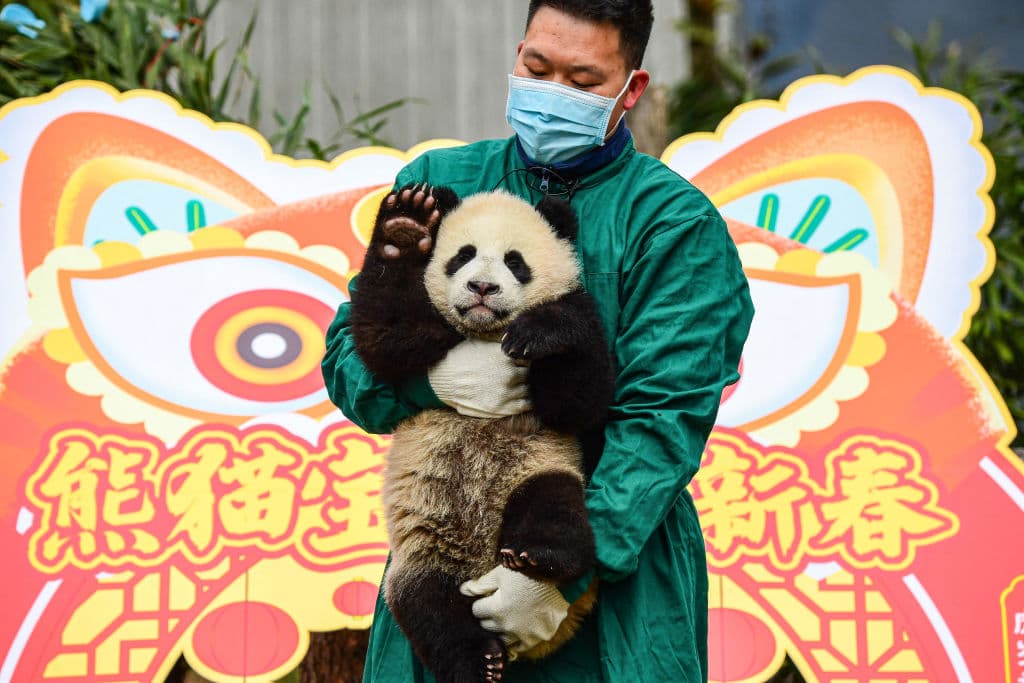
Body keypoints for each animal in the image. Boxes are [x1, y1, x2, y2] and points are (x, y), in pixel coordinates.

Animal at [349, 184, 614, 683]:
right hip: (420, 550)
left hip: (537, 467)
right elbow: (387, 334)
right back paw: (479, 662)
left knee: (553, 505)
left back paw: (540, 558)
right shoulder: (414, 332)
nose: (483, 288)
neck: (486, 334)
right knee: (427, 608)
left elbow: (580, 399)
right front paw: (404, 228)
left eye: (515, 262)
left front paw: (542, 331)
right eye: (463, 256)